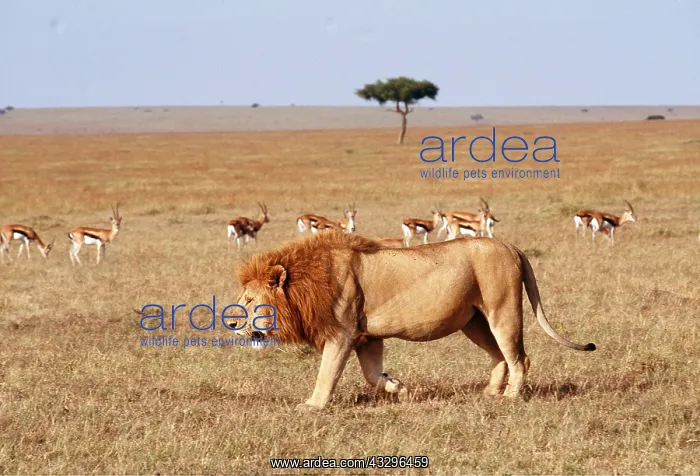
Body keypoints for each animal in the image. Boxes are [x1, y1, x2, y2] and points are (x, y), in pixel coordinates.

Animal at [233, 230, 596, 411]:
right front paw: (400, 388)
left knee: (519, 357)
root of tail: (509, 245)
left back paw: (510, 398)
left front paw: (313, 405)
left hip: (502, 309)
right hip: (474, 322)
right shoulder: (367, 337)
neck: (305, 283)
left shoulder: (343, 334)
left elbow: (327, 374)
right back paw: (490, 392)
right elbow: (373, 376)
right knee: (499, 357)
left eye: (249, 300)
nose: (233, 323)